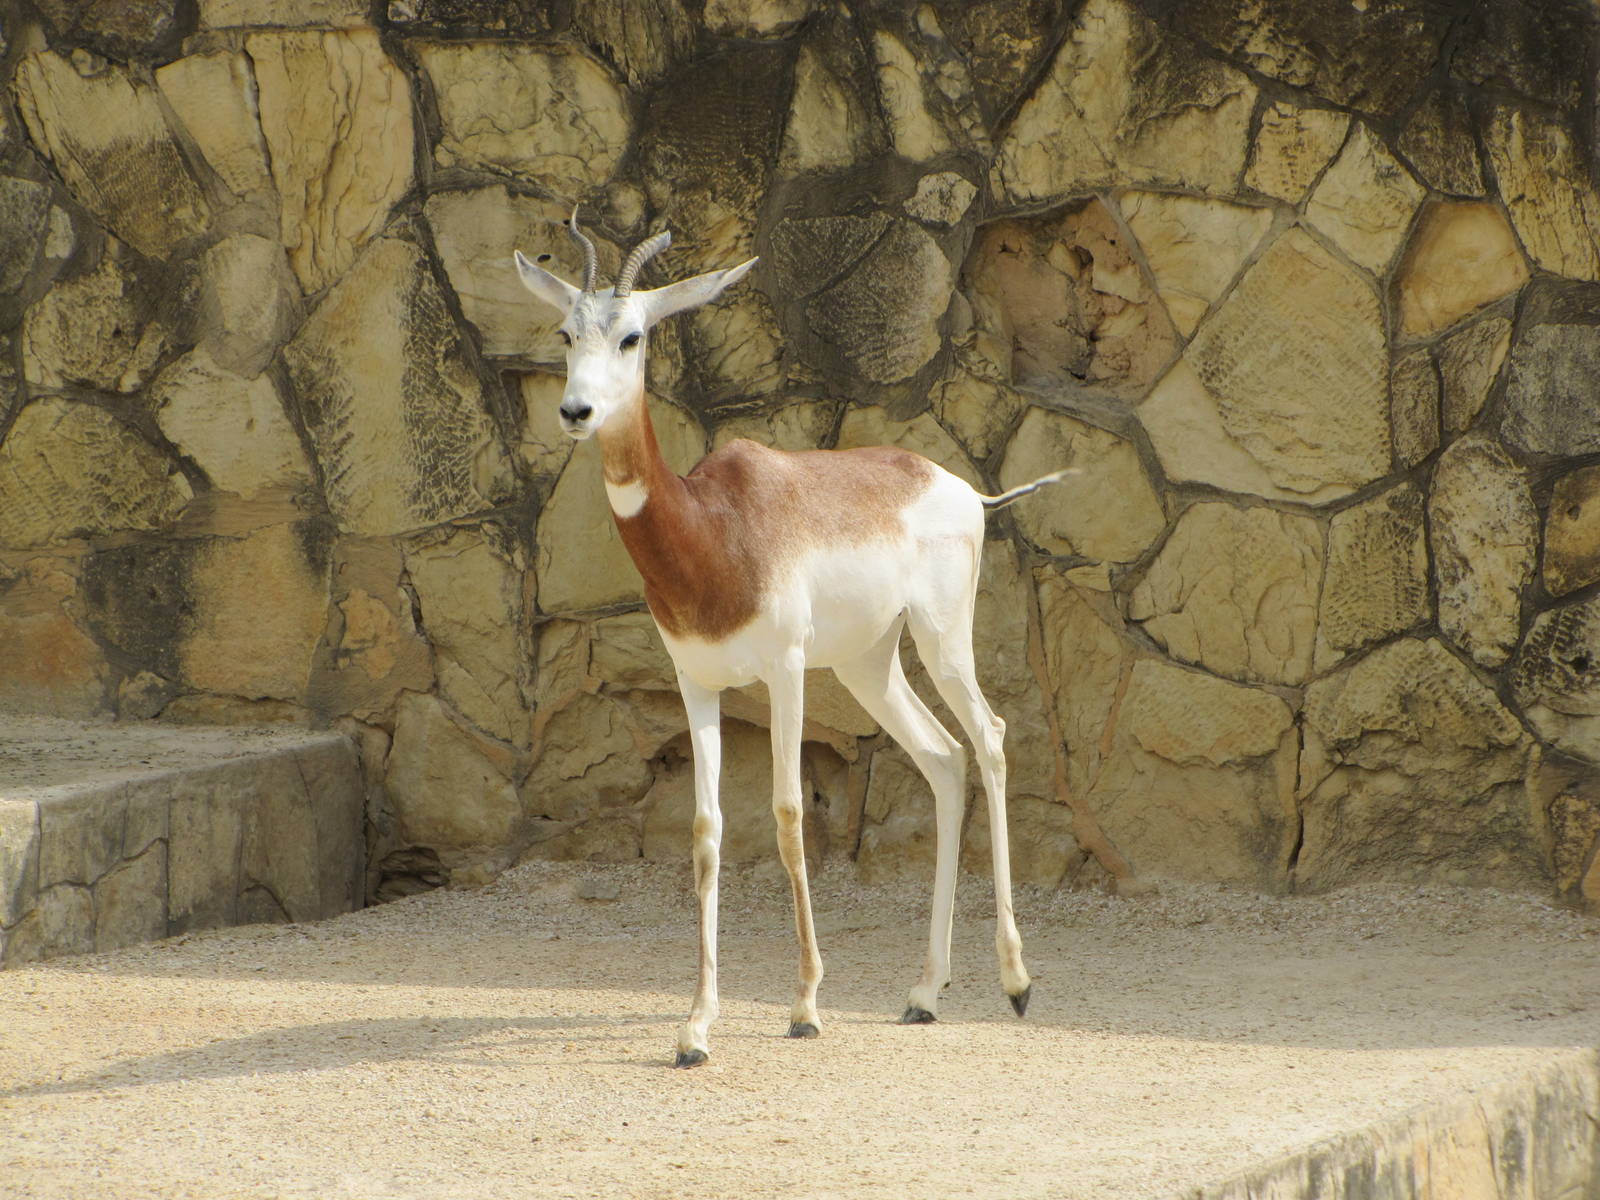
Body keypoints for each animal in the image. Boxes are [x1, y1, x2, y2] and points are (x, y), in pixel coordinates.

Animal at [515, 214, 1069, 1067]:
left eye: (633, 335)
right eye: (566, 331)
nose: (575, 411)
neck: (713, 530)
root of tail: (963, 489)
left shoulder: (785, 670)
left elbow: (784, 813)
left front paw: (806, 1003)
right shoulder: (696, 682)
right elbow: (707, 832)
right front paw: (696, 1025)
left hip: (941, 639)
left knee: (993, 738)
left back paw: (1015, 982)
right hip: (870, 665)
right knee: (944, 758)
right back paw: (923, 992)